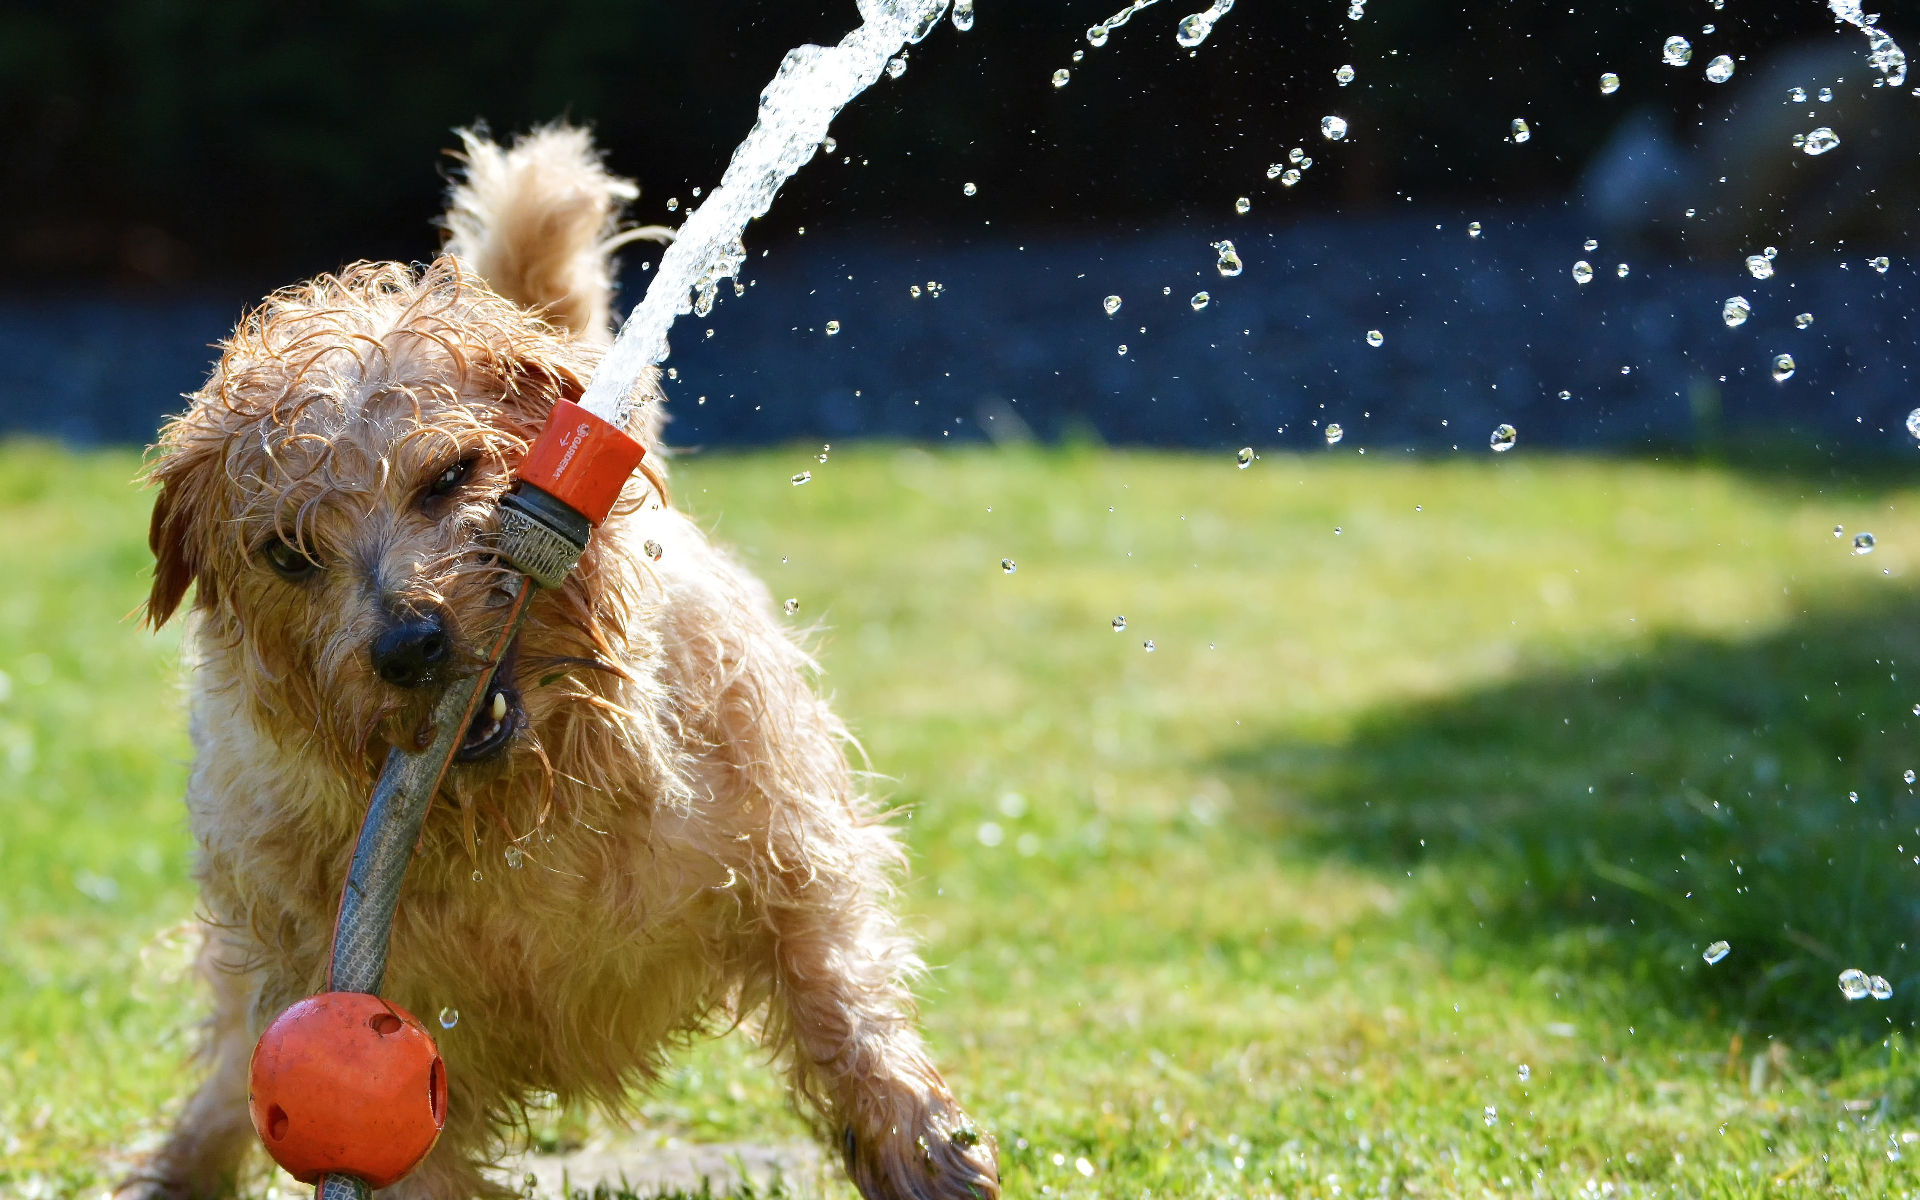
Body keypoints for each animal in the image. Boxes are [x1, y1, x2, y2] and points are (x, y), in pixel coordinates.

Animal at [116, 126, 1006, 1190]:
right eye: (287, 553)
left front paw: (920, 1143)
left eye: (452, 475)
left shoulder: (790, 855)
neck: (525, 812)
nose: (410, 644)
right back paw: (177, 1166)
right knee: (226, 1068)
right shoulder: (385, 1025)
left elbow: (837, 992)